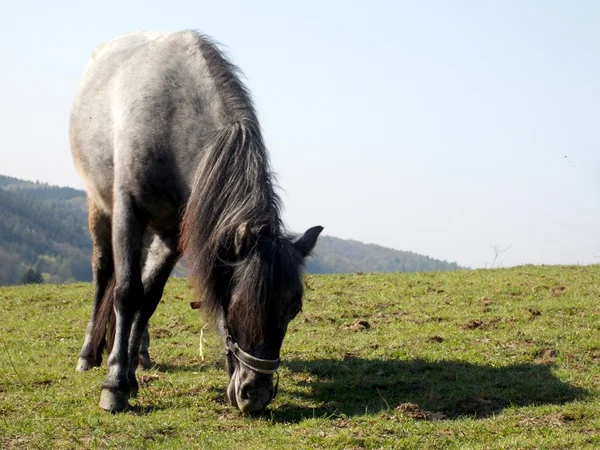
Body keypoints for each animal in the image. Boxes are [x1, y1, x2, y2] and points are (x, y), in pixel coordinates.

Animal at [69, 29, 324, 414]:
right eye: (235, 305)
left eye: (293, 309)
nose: (255, 395)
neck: (171, 118)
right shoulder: (129, 211)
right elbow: (127, 293)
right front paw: (114, 385)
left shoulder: (175, 234)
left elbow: (148, 297)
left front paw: (129, 373)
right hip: (101, 211)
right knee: (104, 276)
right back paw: (89, 354)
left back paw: (138, 353)